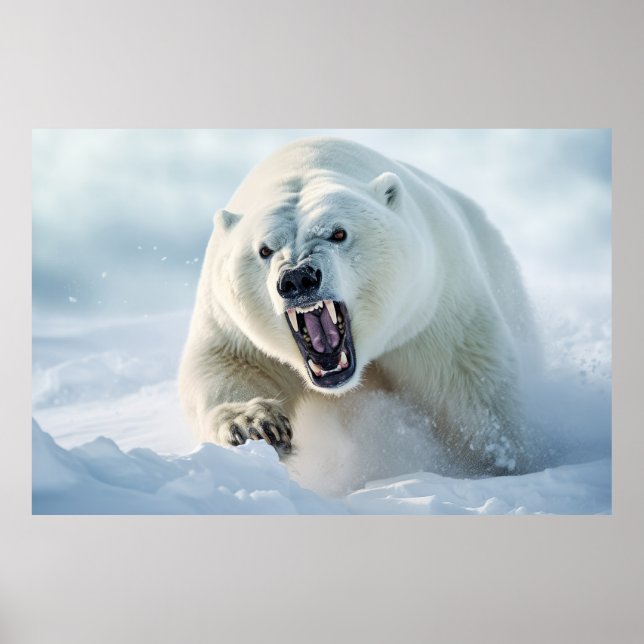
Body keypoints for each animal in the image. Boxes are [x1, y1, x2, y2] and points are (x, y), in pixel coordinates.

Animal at [179, 136, 539, 476]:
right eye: (264, 250)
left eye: (338, 233)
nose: (298, 278)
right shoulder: (231, 325)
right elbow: (226, 366)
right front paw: (255, 425)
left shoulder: (429, 313)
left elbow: (468, 385)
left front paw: (499, 460)